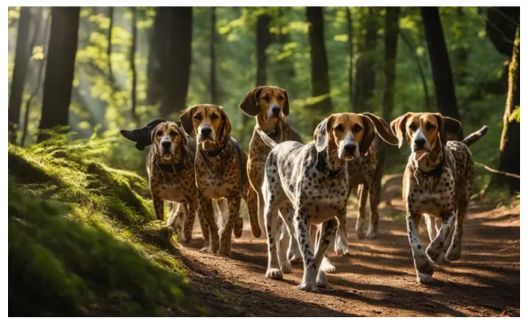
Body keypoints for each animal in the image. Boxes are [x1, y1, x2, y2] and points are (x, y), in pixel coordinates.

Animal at [260, 112, 396, 292]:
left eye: (358, 128)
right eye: (338, 128)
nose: (350, 147)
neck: (328, 173)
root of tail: (278, 146)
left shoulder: (330, 221)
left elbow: (316, 256)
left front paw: (313, 279)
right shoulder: (301, 218)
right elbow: (308, 254)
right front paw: (307, 282)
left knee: (286, 238)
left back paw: (288, 265)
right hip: (272, 210)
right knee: (272, 242)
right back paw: (274, 268)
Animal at [388, 112, 486, 284]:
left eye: (430, 126)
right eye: (411, 126)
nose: (419, 141)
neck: (427, 172)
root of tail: (460, 143)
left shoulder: (449, 213)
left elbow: (441, 237)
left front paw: (432, 253)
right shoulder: (412, 214)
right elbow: (416, 244)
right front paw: (423, 268)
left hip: (464, 197)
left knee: (458, 227)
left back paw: (453, 251)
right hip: (430, 214)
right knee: (432, 228)